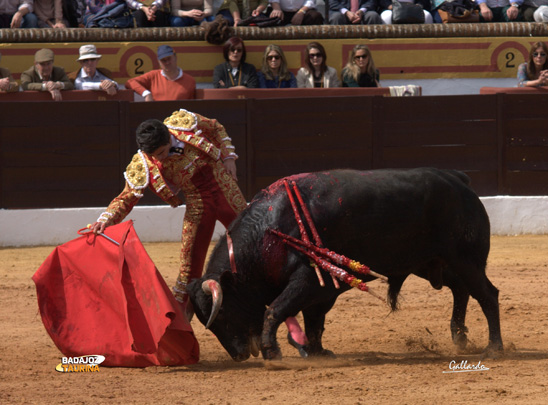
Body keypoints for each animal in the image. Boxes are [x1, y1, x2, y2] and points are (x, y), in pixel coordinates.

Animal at [186, 167, 504, 360]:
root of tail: (457, 179)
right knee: (461, 290)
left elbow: (276, 309)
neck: (269, 233)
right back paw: (459, 337)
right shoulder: (322, 288)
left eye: (222, 313)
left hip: (466, 259)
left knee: (487, 294)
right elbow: (314, 320)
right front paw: (315, 351)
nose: (239, 355)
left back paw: (494, 347)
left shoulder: (309, 280)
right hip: (433, 264)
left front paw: (272, 351)